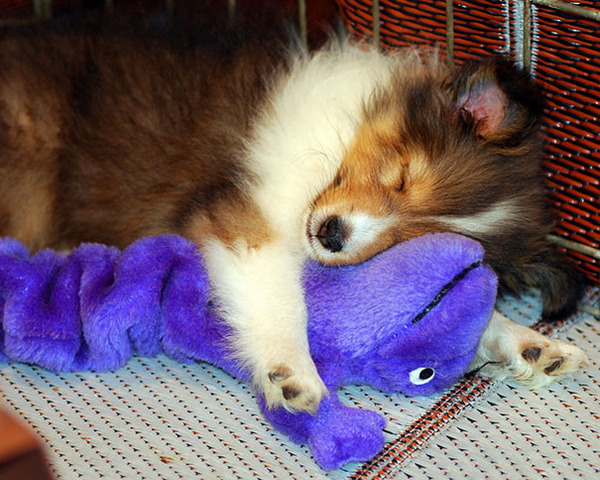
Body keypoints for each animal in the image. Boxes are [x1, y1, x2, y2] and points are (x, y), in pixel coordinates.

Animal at [0, 21, 584, 412]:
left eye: (417, 239)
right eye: (402, 175)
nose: (332, 235)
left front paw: (533, 345)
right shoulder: (240, 218)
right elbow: (281, 298)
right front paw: (292, 373)